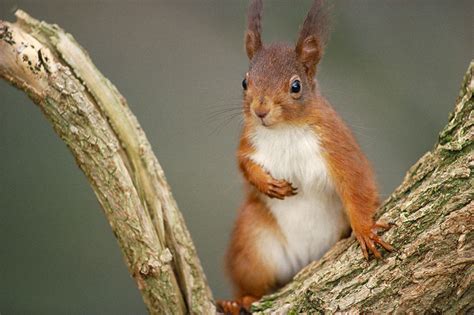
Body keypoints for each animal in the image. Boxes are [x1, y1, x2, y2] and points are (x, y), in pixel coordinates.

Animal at [218, 0, 392, 314]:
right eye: (244, 82)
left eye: (296, 86)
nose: (260, 111)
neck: (284, 130)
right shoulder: (249, 140)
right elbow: (244, 164)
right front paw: (267, 184)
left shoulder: (335, 144)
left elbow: (356, 182)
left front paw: (365, 230)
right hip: (253, 243)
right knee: (255, 285)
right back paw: (238, 301)